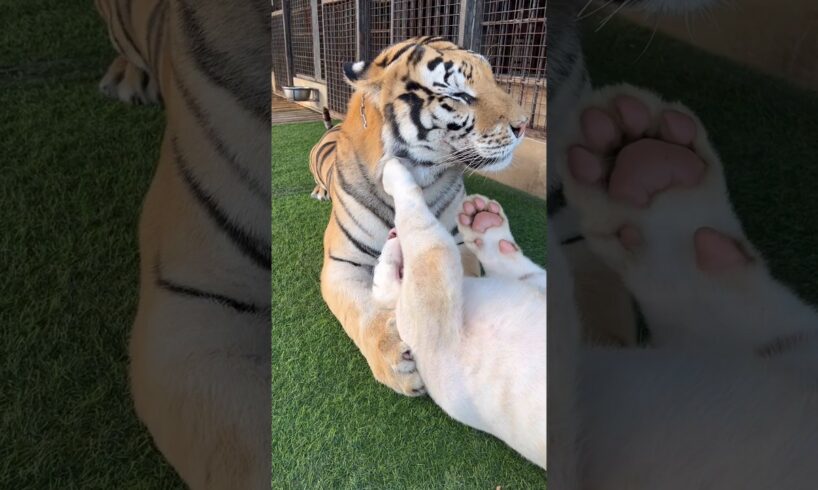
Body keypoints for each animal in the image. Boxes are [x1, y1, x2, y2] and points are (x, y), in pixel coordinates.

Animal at [306, 37, 528, 398]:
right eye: (459, 95)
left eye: (494, 78)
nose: (524, 125)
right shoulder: (342, 264)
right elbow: (360, 310)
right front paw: (395, 361)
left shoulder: (458, 244)